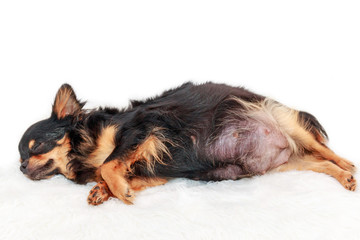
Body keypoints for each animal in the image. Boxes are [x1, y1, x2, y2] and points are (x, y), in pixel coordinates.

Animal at [18, 82, 356, 204]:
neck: (90, 147)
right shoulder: (155, 171)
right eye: (21, 156)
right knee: (321, 163)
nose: (21, 168)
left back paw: (349, 167)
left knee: (325, 150)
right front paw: (104, 190)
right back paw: (344, 177)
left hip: (288, 123)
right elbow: (119, 172)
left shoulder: (144, 128)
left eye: (36, 148)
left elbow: (110, 164)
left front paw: (116, 190)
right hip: (290, 163)